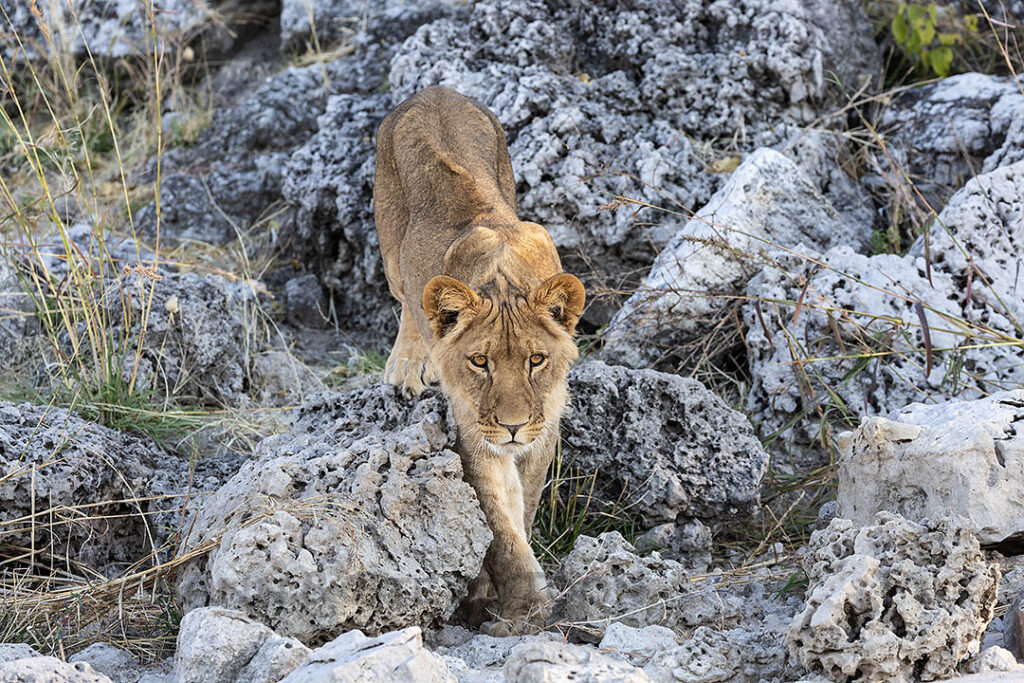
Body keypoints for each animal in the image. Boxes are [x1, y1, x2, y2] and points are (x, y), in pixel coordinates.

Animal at [373, 86, 585, 635]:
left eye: (537, 359)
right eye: (479, 362)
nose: (511, 426)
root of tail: (435, 90)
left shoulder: (542, 429)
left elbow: (522, 510)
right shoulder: (475, 432)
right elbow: (501, 526)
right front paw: (517, 606)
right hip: (391, 249)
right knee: (408, 302)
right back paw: (407, 367)